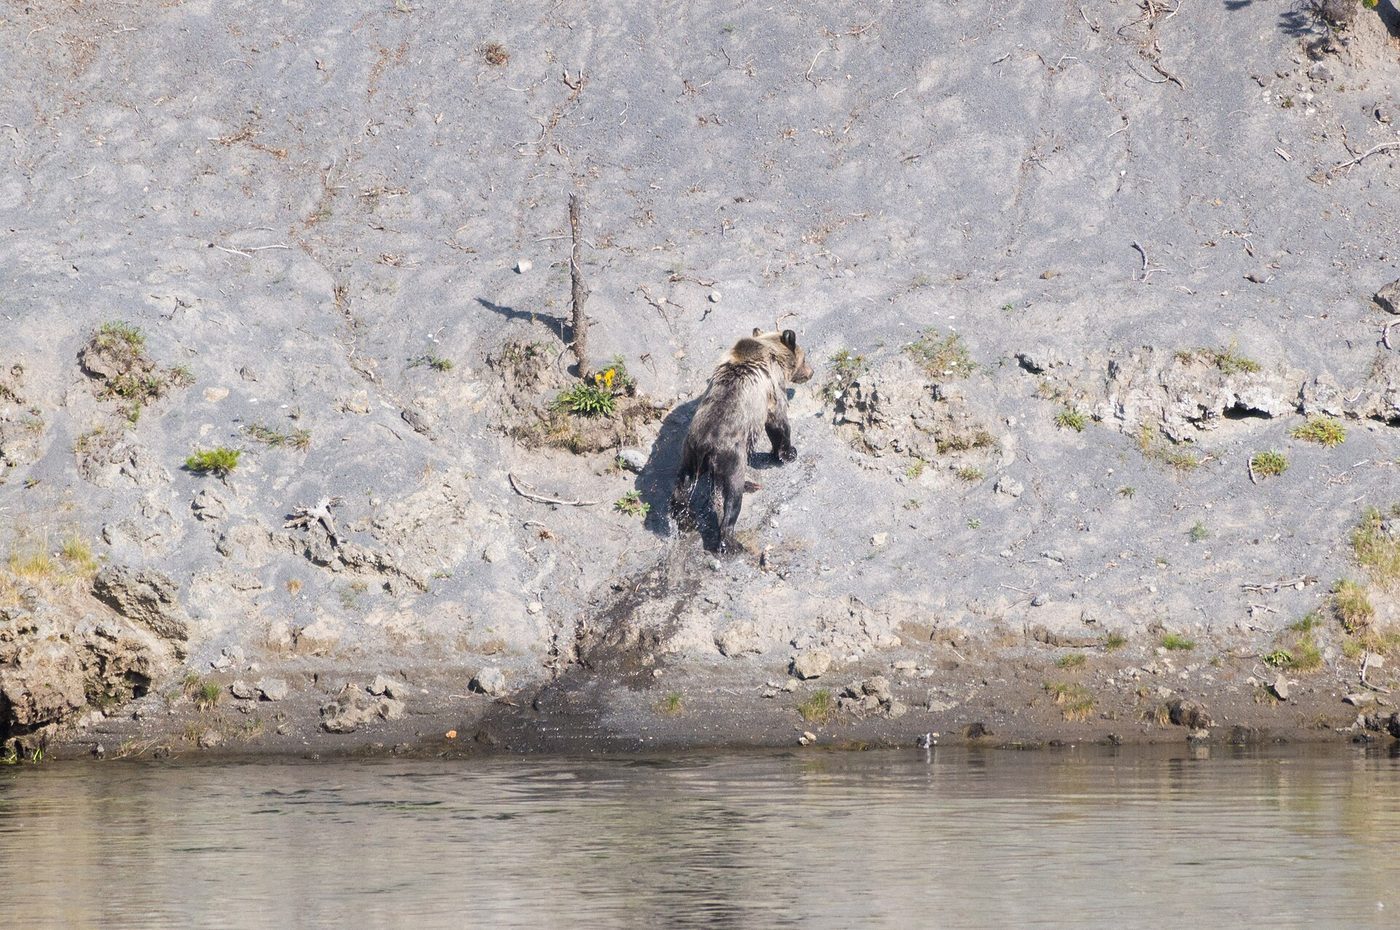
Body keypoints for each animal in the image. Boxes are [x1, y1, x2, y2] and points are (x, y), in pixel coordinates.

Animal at [670, 327, 814, 554]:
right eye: (804, 357)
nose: (811, 372)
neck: (770, 351)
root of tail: (706, 444)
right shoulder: (772, 390)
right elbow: (778, 422)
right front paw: (788, 452)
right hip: (732, 454)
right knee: (732, 492)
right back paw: (731, 540)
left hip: (689, 453)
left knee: (682, 485)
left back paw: (686, 519)